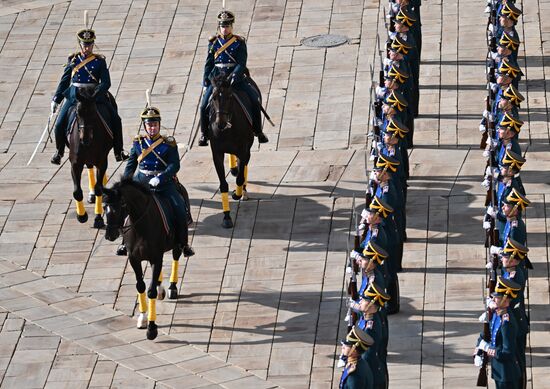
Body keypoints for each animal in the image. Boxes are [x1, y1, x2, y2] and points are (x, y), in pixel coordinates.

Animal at [70, 87, 115, 227]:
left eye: (94, 113)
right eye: (77, 113)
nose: (84, 139)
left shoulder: (101, 161)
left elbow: (99, 188)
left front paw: (98, 218)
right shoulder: (75, 163)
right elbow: (77, 192)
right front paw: (82, 215)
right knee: (90, 166)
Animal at [102, 179, 191, 340]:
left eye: (121, 205)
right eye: (104, 206)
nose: (110, 235)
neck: (141, 227)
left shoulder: (156, 257)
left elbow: (151, 292)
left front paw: (152, 328)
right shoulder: (134, 259)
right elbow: (141, 286)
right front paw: (143, 318)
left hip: (177, 242)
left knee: (176, 257)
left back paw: (172, 287)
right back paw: (161, 287)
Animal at [208, 73, 258, 227]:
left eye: (230, 96)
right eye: (213, 97)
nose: (220, 123)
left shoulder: (244, 150)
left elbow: (241, 177)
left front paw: (237, 193)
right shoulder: (217, 154)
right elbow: (223, 185)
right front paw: (226, 217)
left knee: (244, 168)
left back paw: (243, 191)